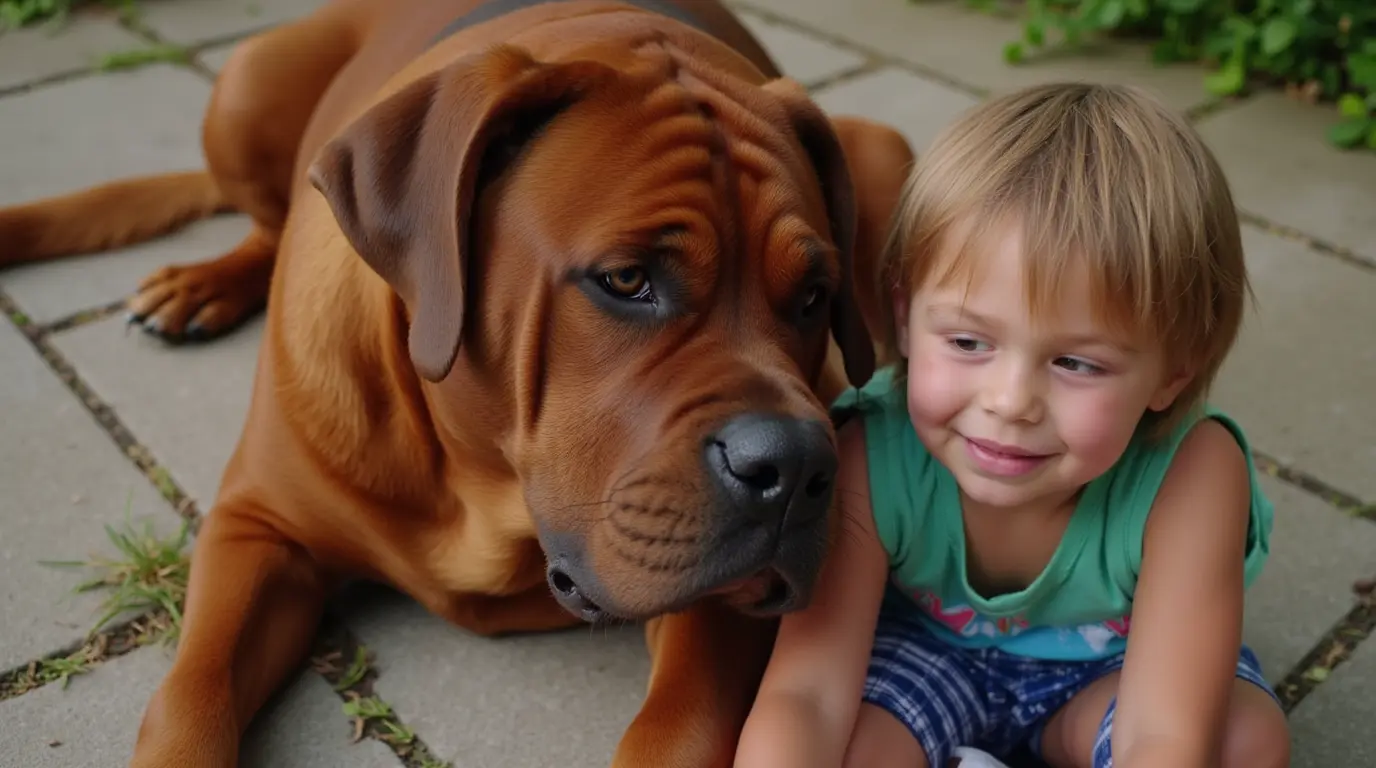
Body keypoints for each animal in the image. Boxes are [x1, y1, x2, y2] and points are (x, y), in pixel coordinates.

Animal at [2, 3, 924, 765]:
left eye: (813, 297)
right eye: (627, 280)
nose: (800, 467)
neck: (480, 480)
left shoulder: (710, 611)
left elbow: (680, 725)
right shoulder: (255, 527)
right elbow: (190, 696)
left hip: (886, 145)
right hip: (245, 82)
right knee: (263, 221)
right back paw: (201, 284)